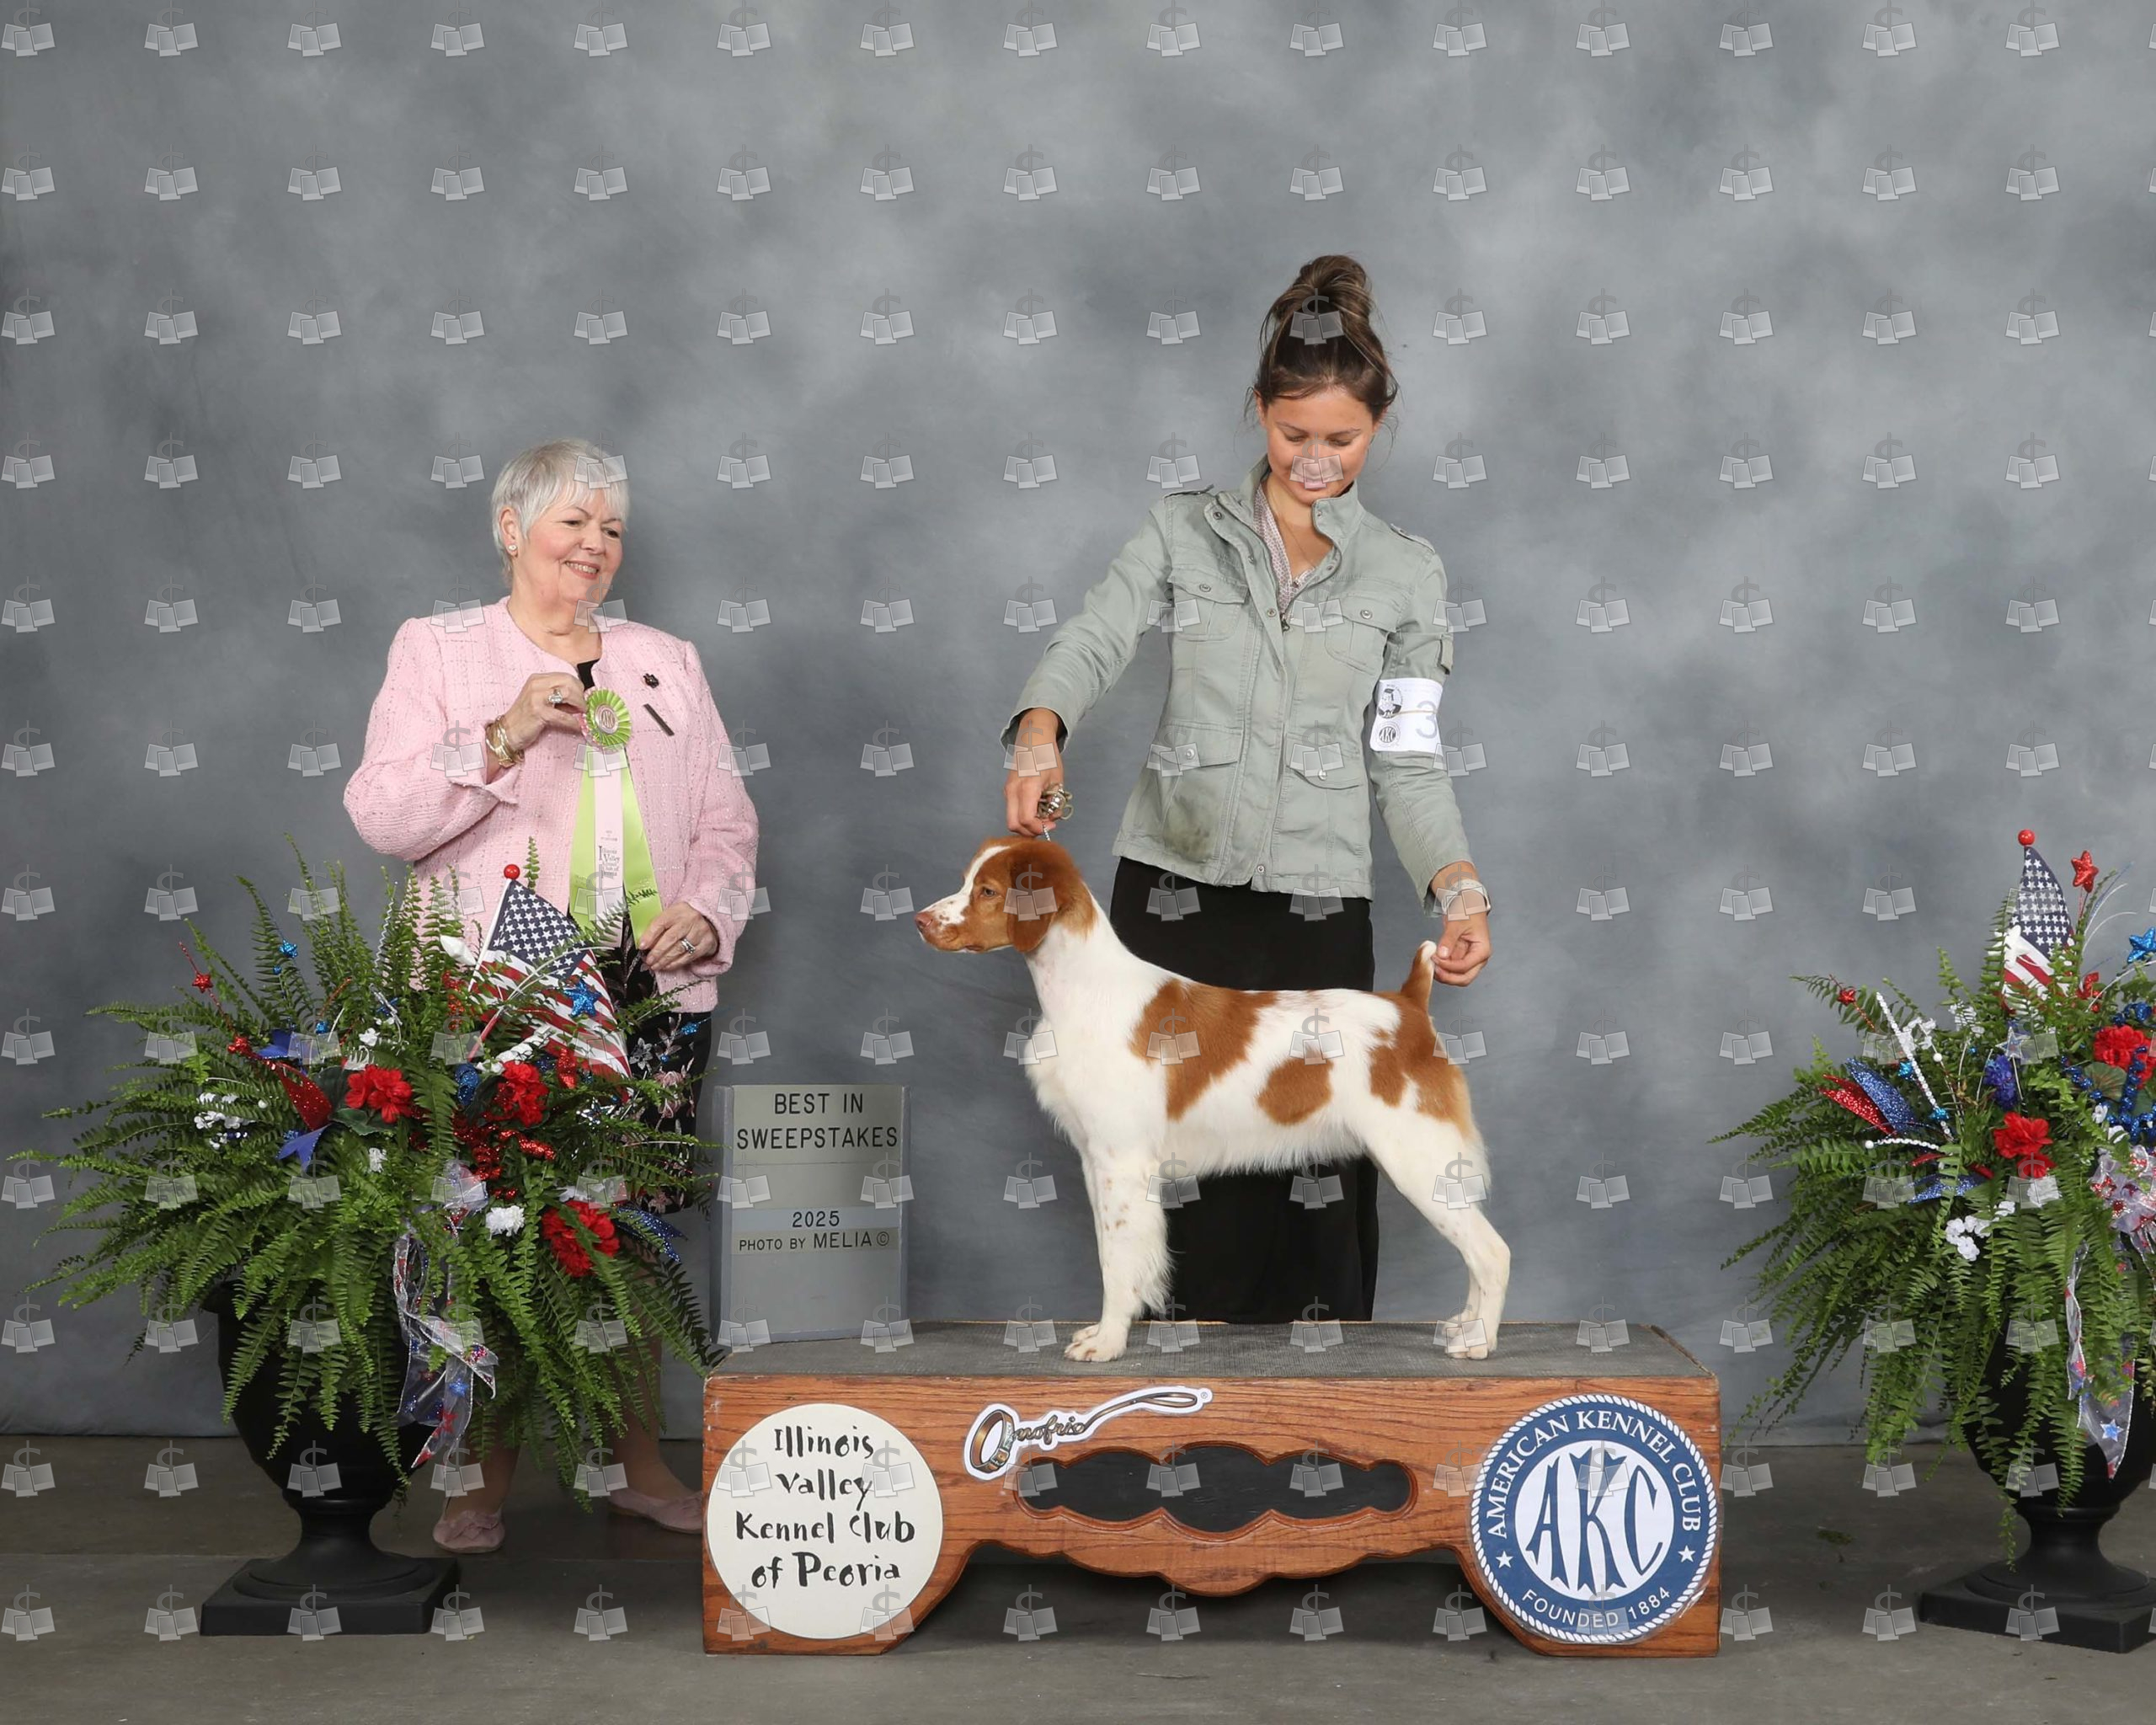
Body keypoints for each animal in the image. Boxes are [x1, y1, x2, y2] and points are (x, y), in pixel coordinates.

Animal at [915, 837, 1509, 1362]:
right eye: (969, 882)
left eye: (988, 891)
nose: (920, 920)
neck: (1084, 991)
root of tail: (1408, 1006)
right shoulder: (1097, 1160)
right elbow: (1111, 1251)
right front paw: (1105, 1332)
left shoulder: (1122, 1162)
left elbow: (1119, 1260)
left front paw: (1107, 1344)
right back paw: (1464, 1324)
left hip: (1417, 1156)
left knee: (1491, 1251)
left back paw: (1478, 1342)